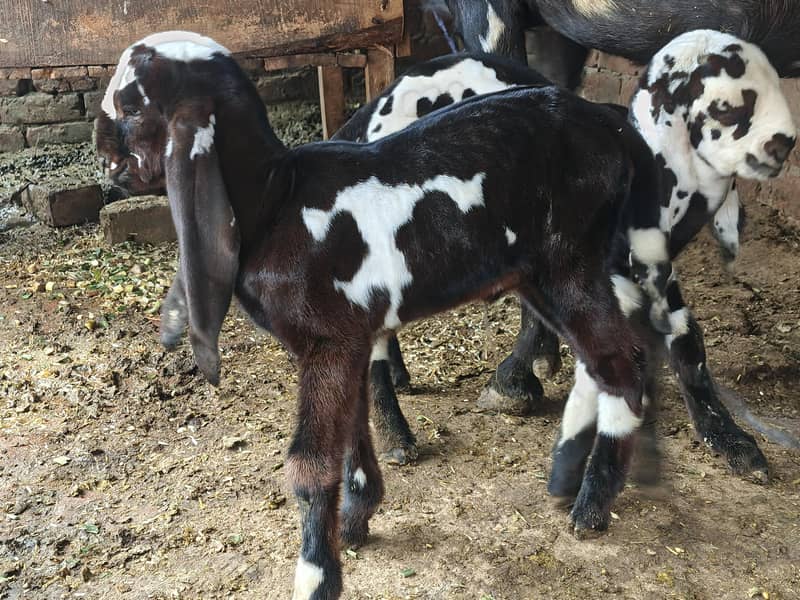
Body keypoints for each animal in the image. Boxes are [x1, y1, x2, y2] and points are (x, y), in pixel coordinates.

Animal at [98, 31, 673, 598]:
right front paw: (357, 519)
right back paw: (576, 473)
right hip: (544, 274)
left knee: (621, 362)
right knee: (606, 359)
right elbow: (353, 432)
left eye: (131, 105)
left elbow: (310, 463)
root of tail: (612, 125)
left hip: (571, 262)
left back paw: (591, 507)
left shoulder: (328, 341)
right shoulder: (351, 339)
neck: (276, 199)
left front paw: (315, 577)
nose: (104, 159)